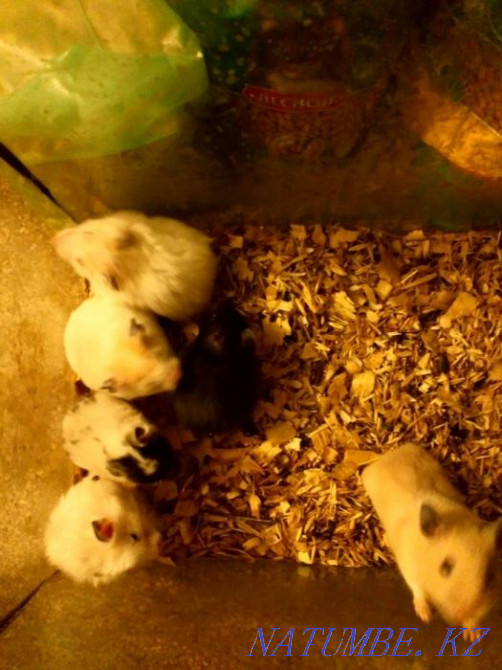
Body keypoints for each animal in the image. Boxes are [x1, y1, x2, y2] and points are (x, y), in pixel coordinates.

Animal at [362, 444, 501, 641]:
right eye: (445, 567)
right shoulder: (408, 565)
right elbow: (417, 588)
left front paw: (472, 636)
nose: (458, 617)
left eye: (489, 578)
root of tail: (389, 454)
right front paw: (425, 617)